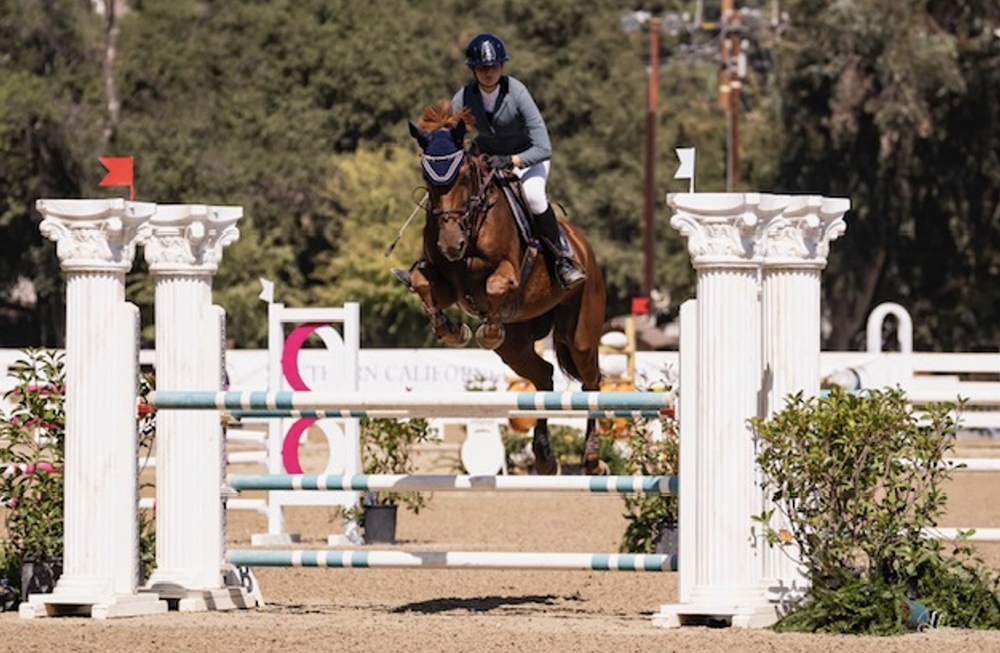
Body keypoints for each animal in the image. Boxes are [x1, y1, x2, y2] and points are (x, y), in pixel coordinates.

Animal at [400, 102, 604, 476]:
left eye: (464, 175)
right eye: (426, 177)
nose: (451, 244)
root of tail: (583, 246)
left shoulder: (506, 272)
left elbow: (496, 284)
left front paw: (488, 330)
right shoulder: (446, 282)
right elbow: (423, 282)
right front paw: (451, 330)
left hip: (580, 332)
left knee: (591, 382)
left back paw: (592, 458)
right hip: (517, 347)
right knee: (545, 377)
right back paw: (544, 457)